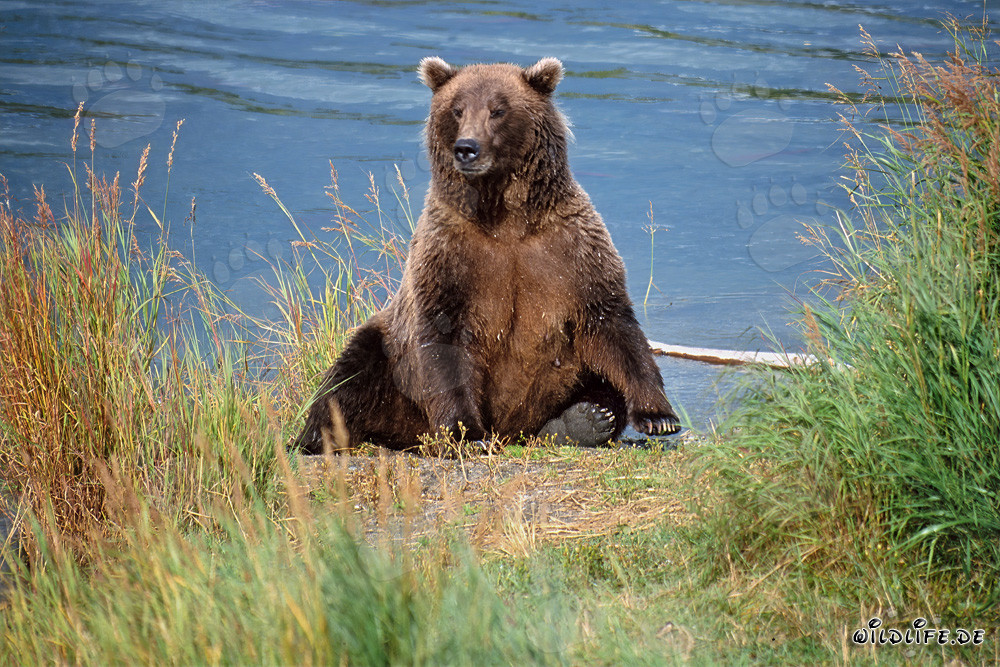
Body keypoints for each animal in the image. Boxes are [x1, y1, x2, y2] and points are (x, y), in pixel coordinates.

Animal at [292, 57, 680, 454]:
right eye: (457, 109)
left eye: (498, 110)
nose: (467, 147)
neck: (505, 218)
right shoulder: (450, 256)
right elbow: (444, 342)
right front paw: (466, 432)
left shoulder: (571, 248)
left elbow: (611, 324)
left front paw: (658, 415)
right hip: (391, 359)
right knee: (349, 376)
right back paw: (318, 436)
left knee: (599, 384)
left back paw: (584, 420)